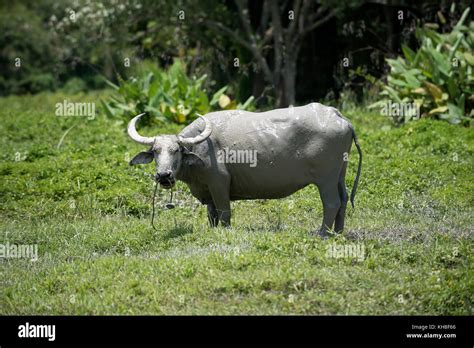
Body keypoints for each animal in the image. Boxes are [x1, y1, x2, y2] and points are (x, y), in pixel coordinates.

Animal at [128, 102, 362, 235]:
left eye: (176, 150)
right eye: (155, 151)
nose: (164, 175)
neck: (200, 148)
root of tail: (339, 117)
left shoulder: (219, 183)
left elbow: (224, 212)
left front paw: (225, 231)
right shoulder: (207, 190)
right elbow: (211, 214)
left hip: (326, 179)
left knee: (331, 203)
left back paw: (323, 233)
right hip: (340, 174)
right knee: (343, 199)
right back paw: (338, 232)